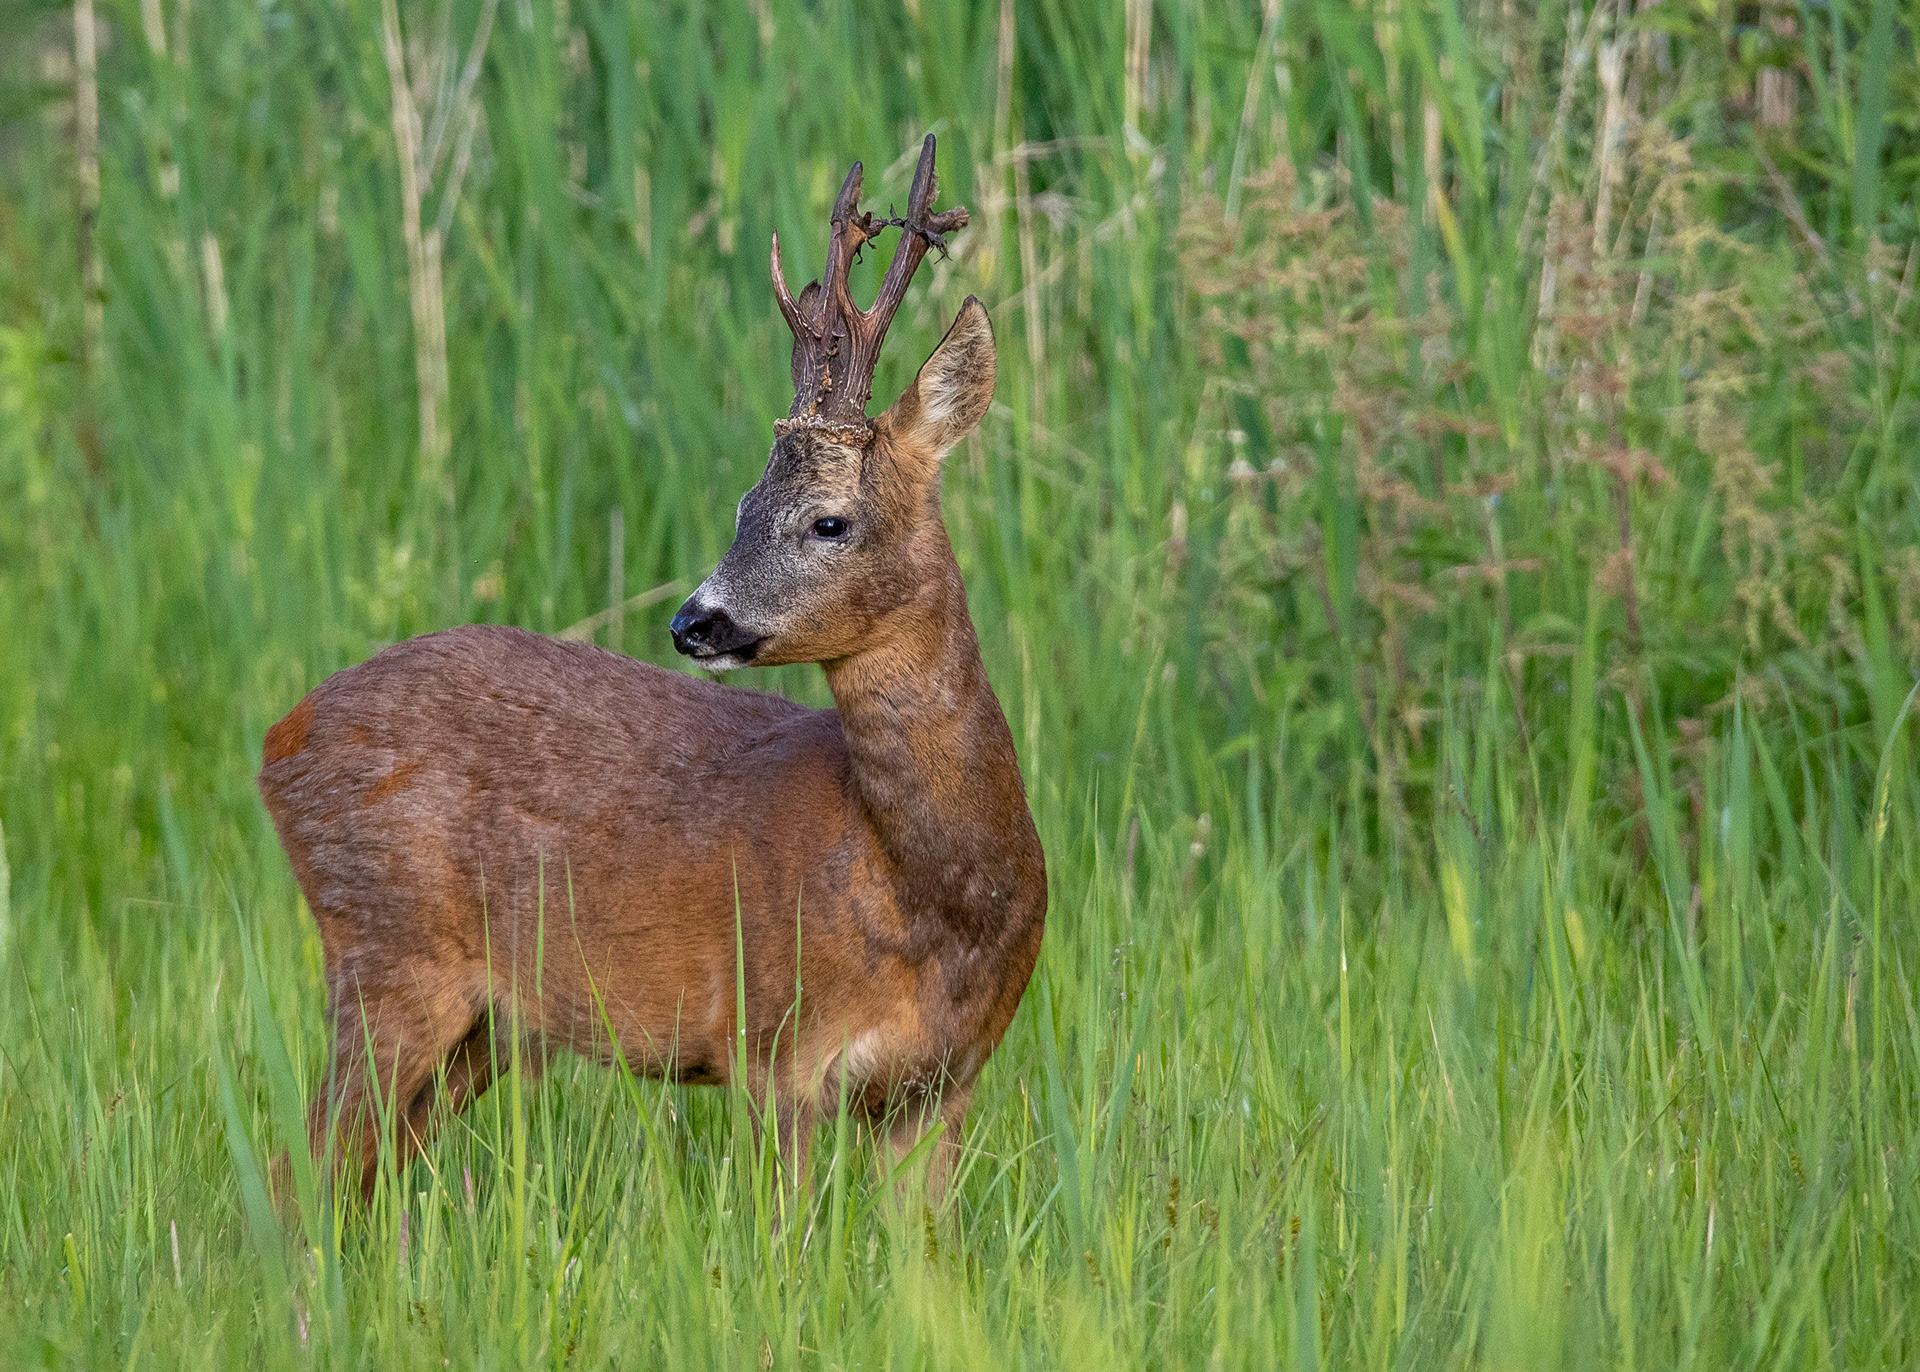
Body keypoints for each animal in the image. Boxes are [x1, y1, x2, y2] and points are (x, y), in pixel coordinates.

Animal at [257, 134, 1046, 1210]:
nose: (694, 622)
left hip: (485, 1025)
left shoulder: (945, 1083)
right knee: (297, 1172)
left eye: (827, 520)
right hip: (387, 950)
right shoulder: (773, 1046)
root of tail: (276, 739)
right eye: (745, 505)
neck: (931, 898)